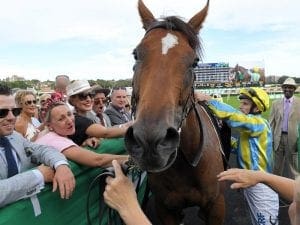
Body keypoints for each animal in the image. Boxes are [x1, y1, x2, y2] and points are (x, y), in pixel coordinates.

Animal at [123, 0, 227, 224]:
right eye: (136, 54)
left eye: (194, 62)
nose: (149, 140)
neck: (185, 165)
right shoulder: (166, 208)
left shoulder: (217, 205)